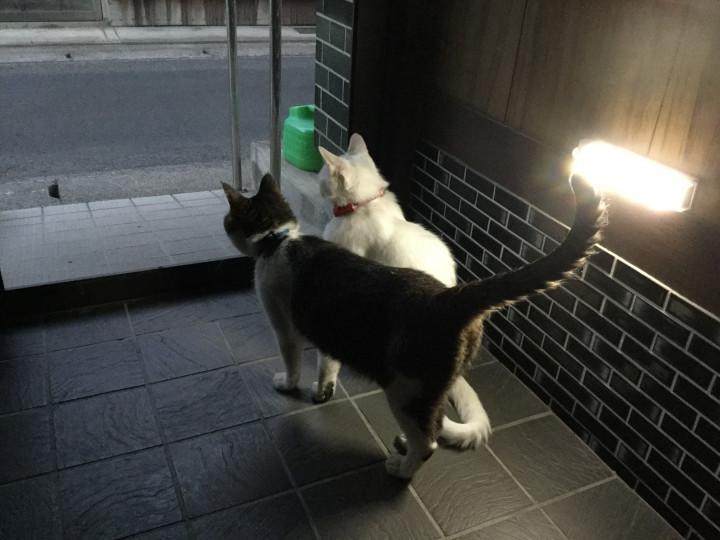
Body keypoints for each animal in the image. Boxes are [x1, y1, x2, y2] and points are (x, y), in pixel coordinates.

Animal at [222, 172, 605, 479]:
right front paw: (322, 392)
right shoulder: (329, 335)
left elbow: (292, 362)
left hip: (405, 388)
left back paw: (400, 469)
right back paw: (405, 441)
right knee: (431, 425)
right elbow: (327, 368)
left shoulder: (283, 326)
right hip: (426, 389)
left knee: (428, 444)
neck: (278, 241)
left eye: (228, 219)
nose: (224, 223)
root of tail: (450, 297)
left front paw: (286, 385)